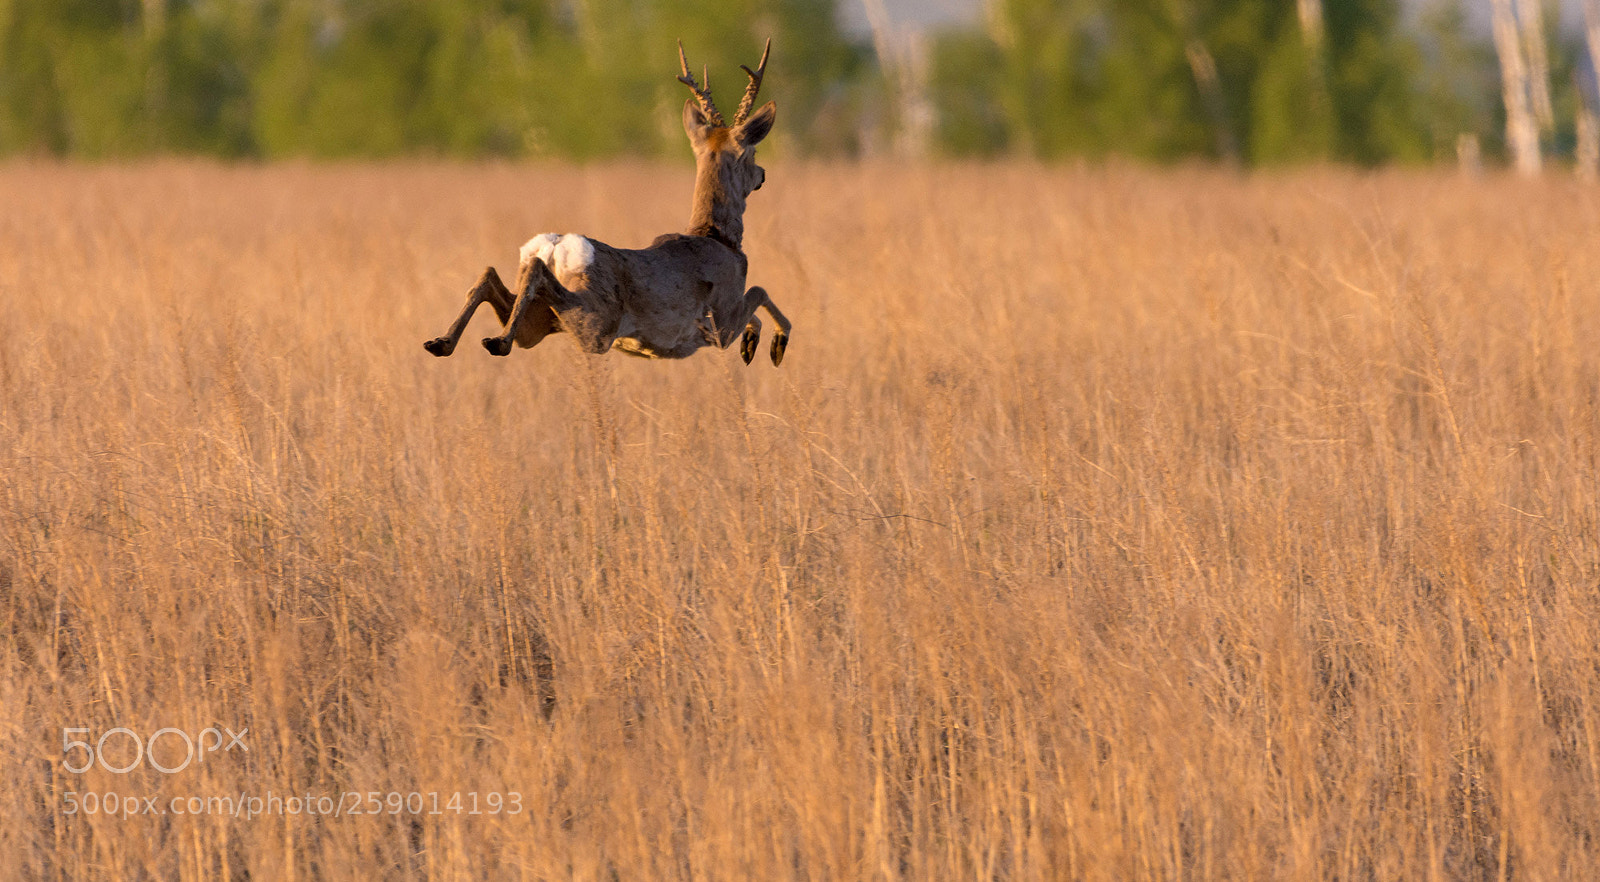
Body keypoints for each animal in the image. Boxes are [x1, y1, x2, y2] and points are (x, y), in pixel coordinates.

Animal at [423, 39, 790, 366]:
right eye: (752, 152)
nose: (762, 175)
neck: (718, 237)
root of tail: (557, 245)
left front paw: (752, 345)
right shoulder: (721, 324)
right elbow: (760, 291)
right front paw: (772, 344)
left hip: (543, 323)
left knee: (491, 278)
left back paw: (444, 342)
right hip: (597, 323)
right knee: (535, 276)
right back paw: (494, 342)